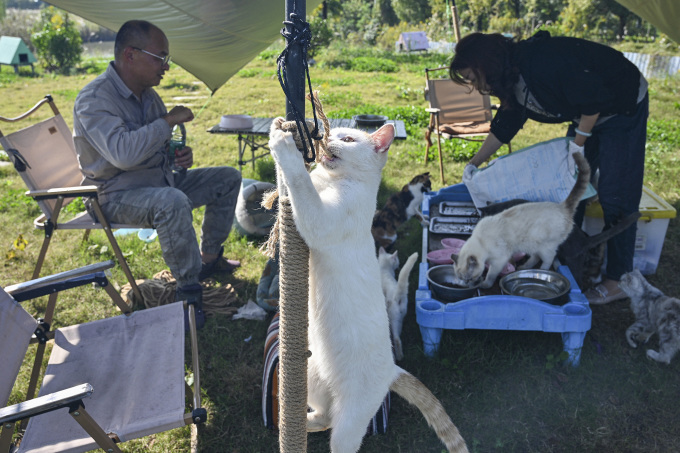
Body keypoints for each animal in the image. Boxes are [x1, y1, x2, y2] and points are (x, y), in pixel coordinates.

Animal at [268, 118, 470, 450]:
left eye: (347, 139)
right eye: (330, 133)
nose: (322, 137)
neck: (331, 182)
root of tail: (393, 370)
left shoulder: (320, 221)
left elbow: (299, 182)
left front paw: (285, 145)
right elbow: (286, 184)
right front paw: (278, 130)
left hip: (349, 423)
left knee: (337, 434)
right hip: (311, 374)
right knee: (325, 416)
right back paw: (299, 423)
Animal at [452, 150, 588, 288]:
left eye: (469, 278)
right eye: (461, 278)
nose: (466, 284)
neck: (480, 241)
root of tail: (562, 206)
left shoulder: (499, 260)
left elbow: (490, 275)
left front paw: (485, 284)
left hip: (545, 247)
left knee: (548, 259)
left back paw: (542, 271)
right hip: (533, 245)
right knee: (536, 257)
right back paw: (524, 267)